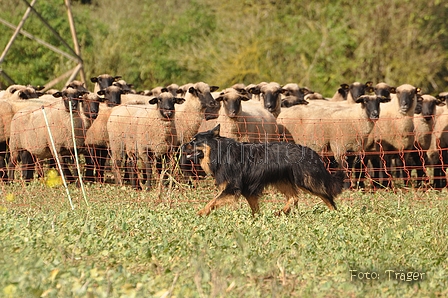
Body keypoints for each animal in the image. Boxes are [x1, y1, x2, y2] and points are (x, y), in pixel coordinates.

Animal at [180, 124, 344, 215]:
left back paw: (334, 214)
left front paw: (201, 213)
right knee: (294, 198)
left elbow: (212, 201)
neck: (220, 153)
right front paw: (257, 220)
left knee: (326, 196)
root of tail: (311, 152)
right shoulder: (248, 189)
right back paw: (281, 212)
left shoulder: (232, 188)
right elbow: (254, 208)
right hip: (282, 180)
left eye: (194, 141)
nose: (181, 146)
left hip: (306, 181)